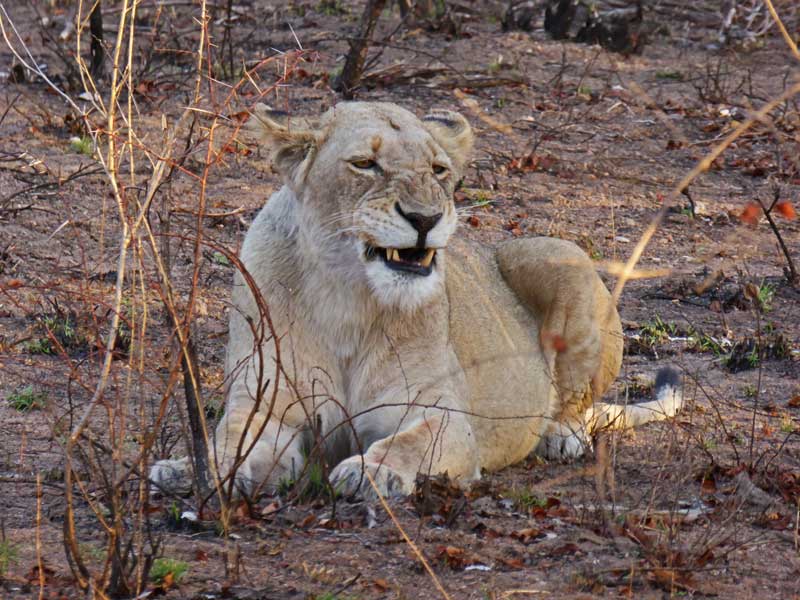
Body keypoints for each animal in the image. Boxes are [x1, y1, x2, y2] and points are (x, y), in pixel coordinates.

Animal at [150, 101, 682, 500]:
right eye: (365, 163)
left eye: (439, 170)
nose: (425, 219)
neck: (347, 295)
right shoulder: (268, 404)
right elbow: (230, 441)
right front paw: (197, 470)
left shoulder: (443, 416)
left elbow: (407, 444)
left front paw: (370, 472)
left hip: (559, 252)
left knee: (575, 405)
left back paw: (560, 437)